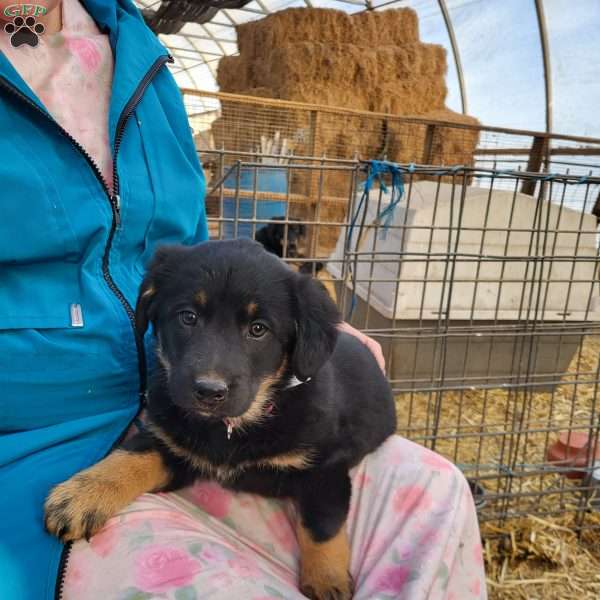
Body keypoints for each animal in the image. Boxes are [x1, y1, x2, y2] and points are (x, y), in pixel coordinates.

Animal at [44, 239, 396, 600]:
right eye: (188, 317)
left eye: (258, 329)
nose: (209, 391)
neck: (231, 428)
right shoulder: (175, 444)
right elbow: (131, 457)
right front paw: (82, 494)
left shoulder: (327, 466)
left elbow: (322, 524)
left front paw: (327, 580)